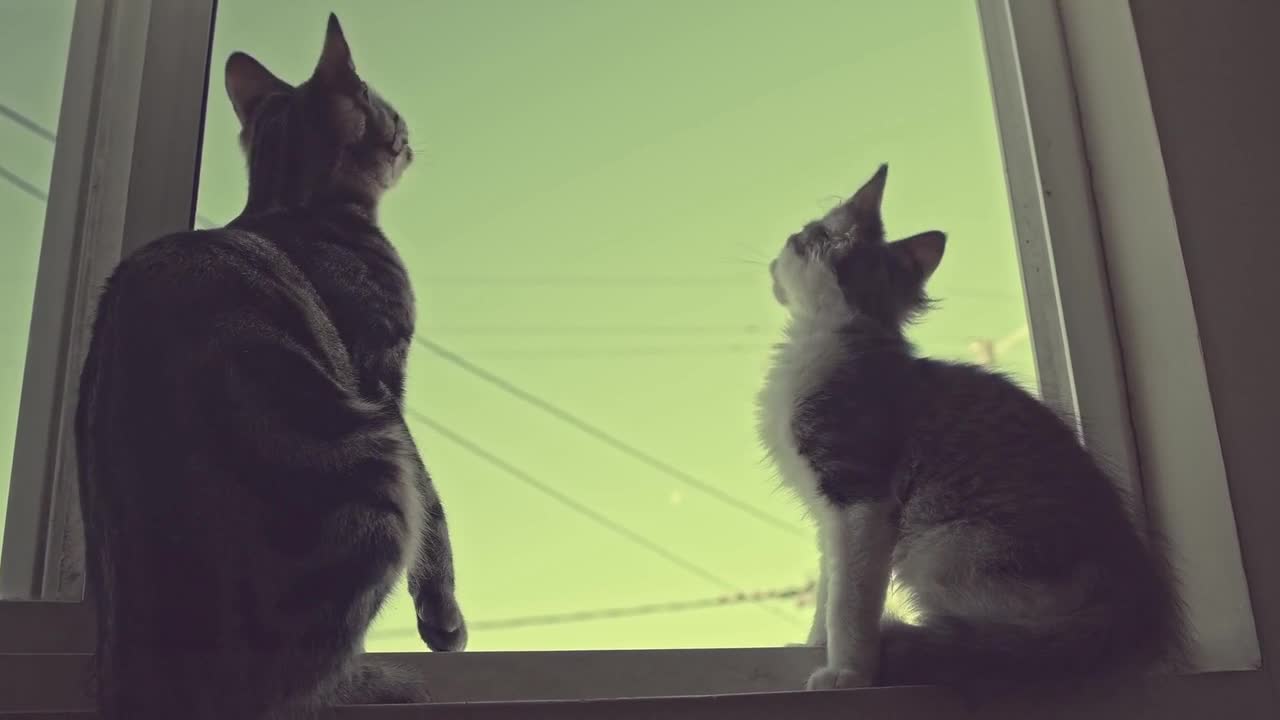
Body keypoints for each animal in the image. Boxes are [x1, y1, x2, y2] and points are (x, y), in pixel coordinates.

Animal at [74, 14, 468, 712]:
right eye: (390, 112)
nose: (411, 134)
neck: (294, 203)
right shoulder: (383, 384)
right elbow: (434, 505)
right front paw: (443, 617)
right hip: (370, 469)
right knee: (300, 684)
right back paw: (380, 684)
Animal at [752, 163, 1182, 696]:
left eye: (801, 237)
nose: (774, 261)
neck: (840, 332)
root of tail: (1132, 603)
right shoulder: (828, 509)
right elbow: (829, 585)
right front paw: (815, 643)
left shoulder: (860, 496)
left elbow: (848, 600)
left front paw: (848, 671)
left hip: (944, 549)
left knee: (1010, 642)